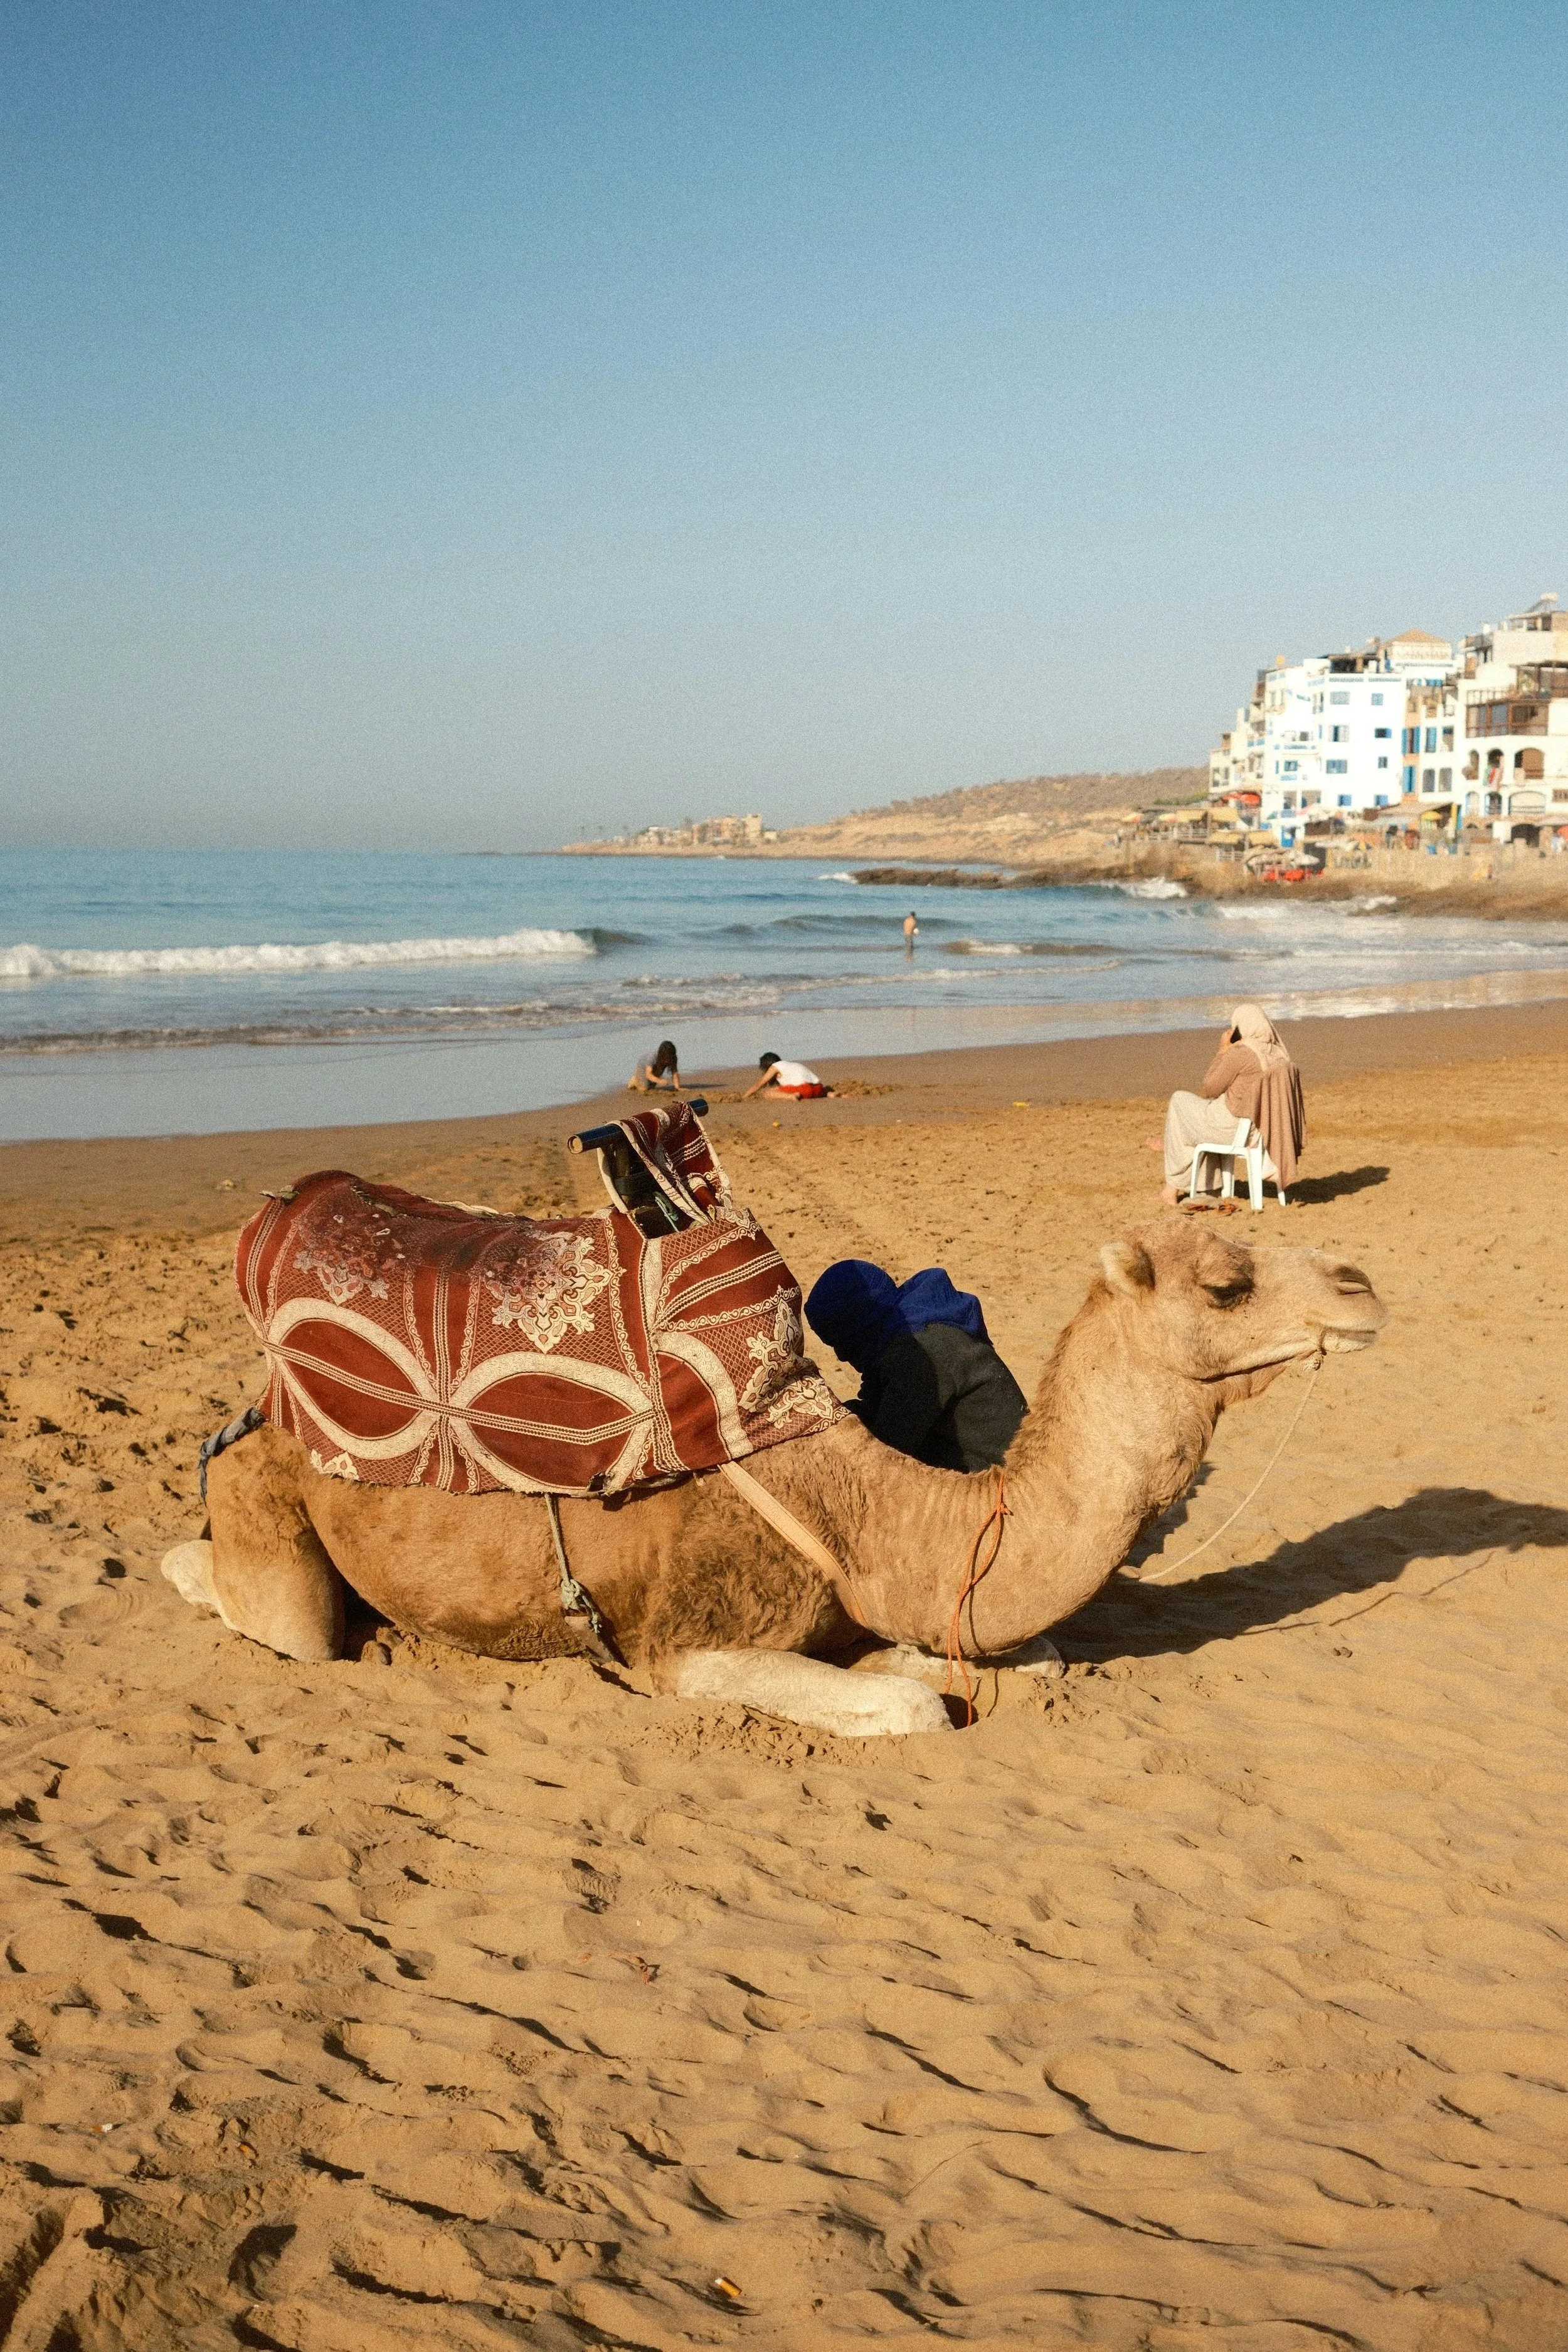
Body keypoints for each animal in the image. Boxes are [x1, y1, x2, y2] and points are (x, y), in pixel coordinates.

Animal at [162, 1220, 1385, 1736]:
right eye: (1226, 1284)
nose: (1363, 1284)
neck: (870, 1513)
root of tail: (260, 1406)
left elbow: (1014, 1663)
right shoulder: (682, 1647)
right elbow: (913, 1706)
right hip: (273, 1502)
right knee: (277, 1614)